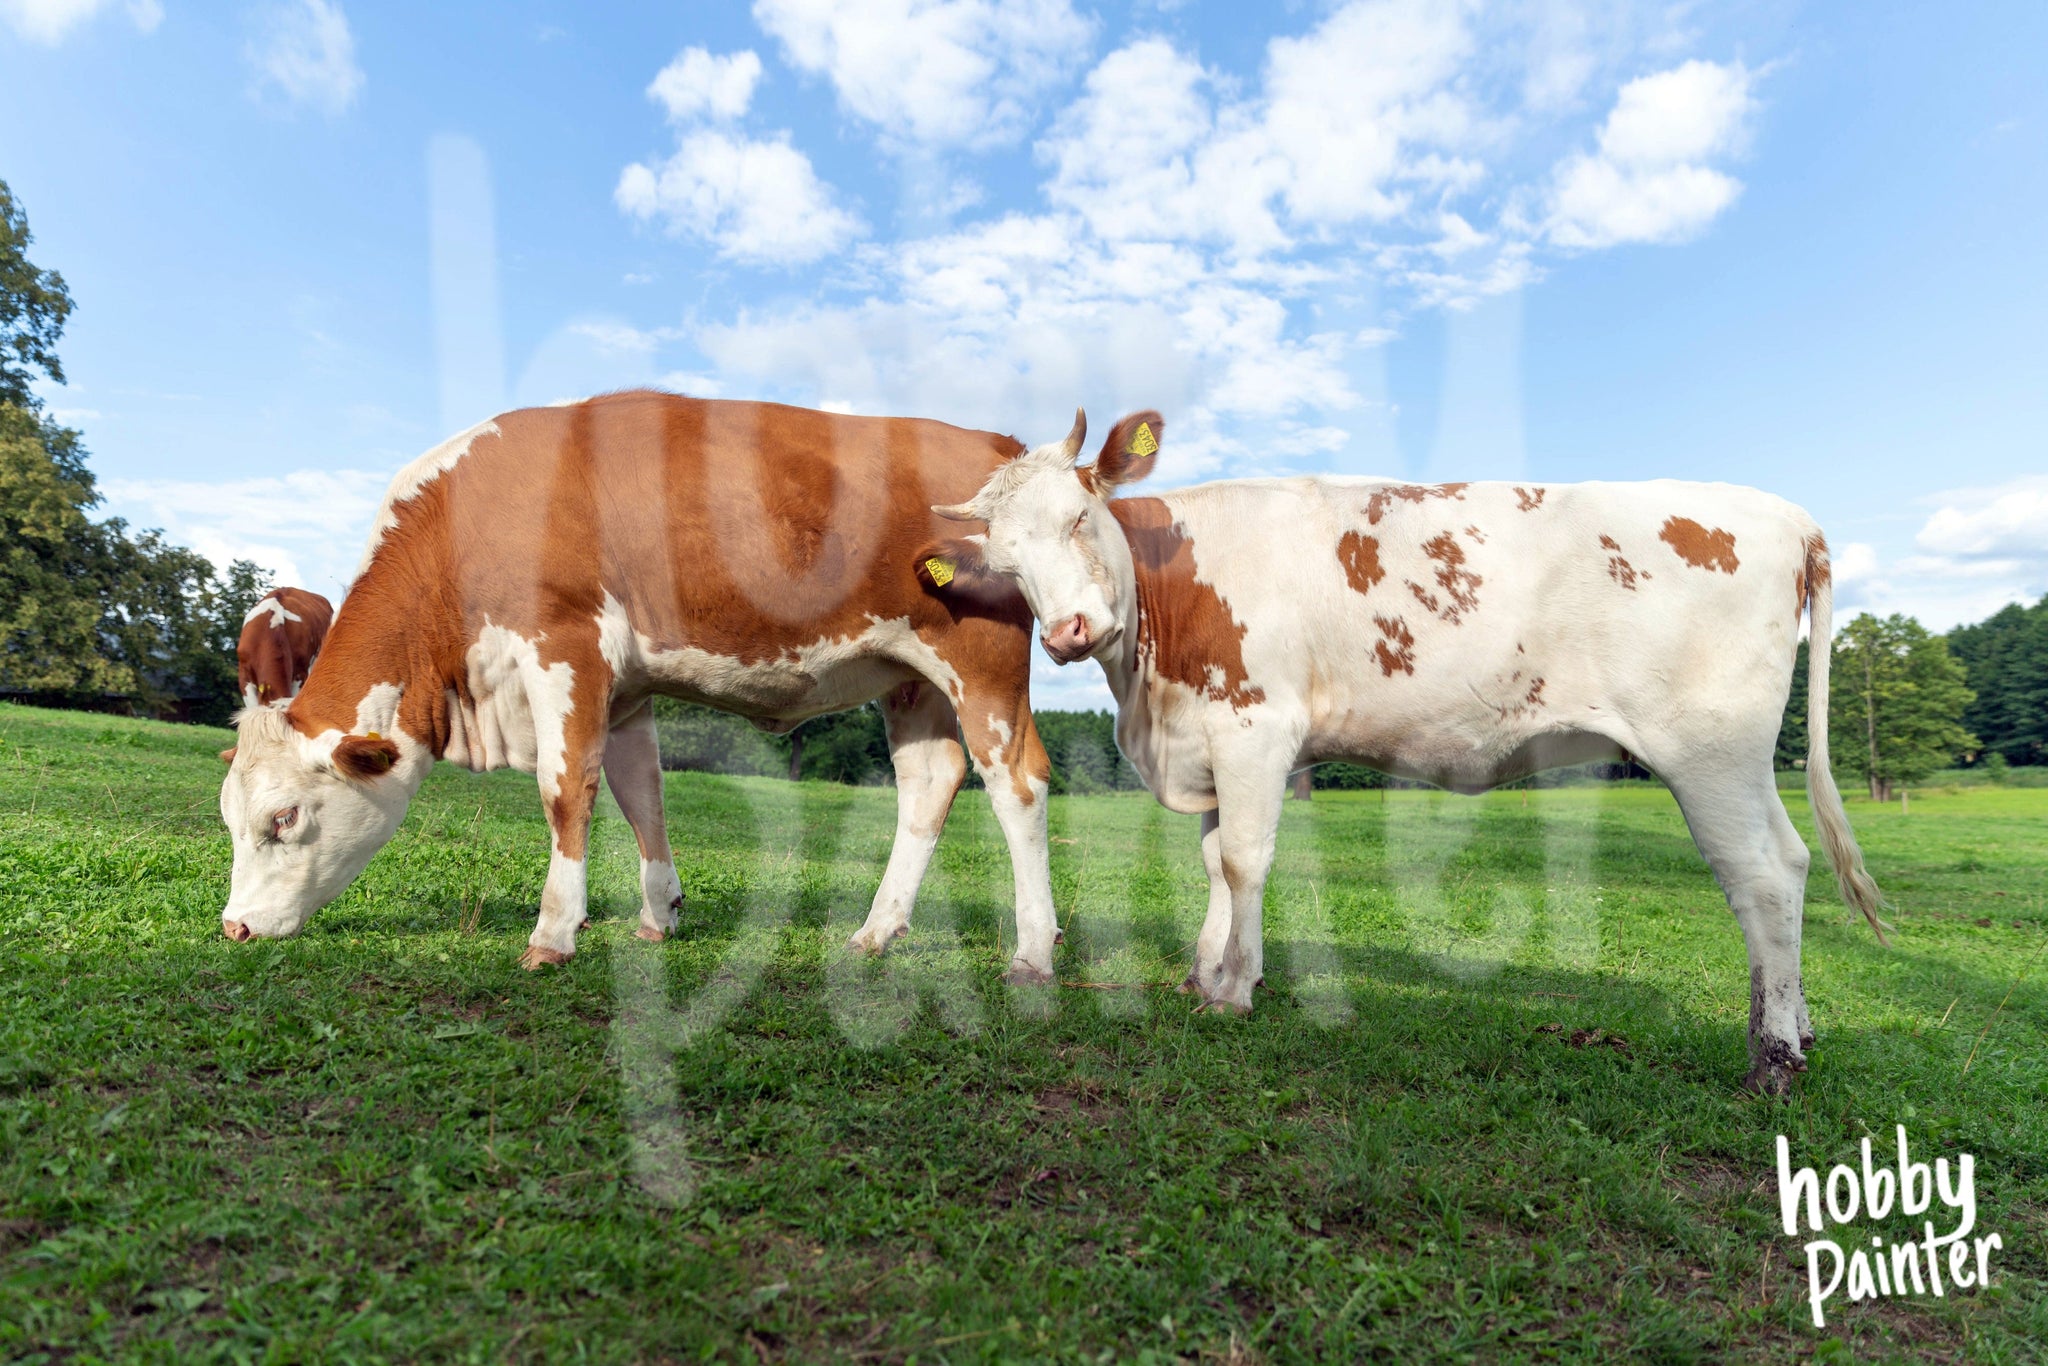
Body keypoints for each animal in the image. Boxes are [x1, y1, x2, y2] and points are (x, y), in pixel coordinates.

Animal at [217, 391, 1076, 980]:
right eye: (230, 818)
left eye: (283, 817)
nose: (234, 929)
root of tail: (994, 445)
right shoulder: (625, 686)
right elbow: (640, 792)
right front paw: (659, 915)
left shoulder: (564, 647)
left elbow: (565, 789)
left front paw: (553, 933)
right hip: (911, 676)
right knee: (930, 781)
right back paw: (876, 929)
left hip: (982, 663)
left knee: (1019, 783)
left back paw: (1034, 949)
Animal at [924, 410, 1886, 1094]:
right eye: (1007, 560)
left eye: (1081, 516)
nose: (1069, 632)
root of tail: (1783, 514)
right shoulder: (1212, 741)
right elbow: (1212, 861)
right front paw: (1207, 971)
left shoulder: (1254, 727)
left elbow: (1242, 861)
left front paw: (1234, 991)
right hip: (1741, 759)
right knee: (1792, 860)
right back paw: (1797, 1030)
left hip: (1708, 750)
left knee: (1761, 876)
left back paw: (1771, 1061)